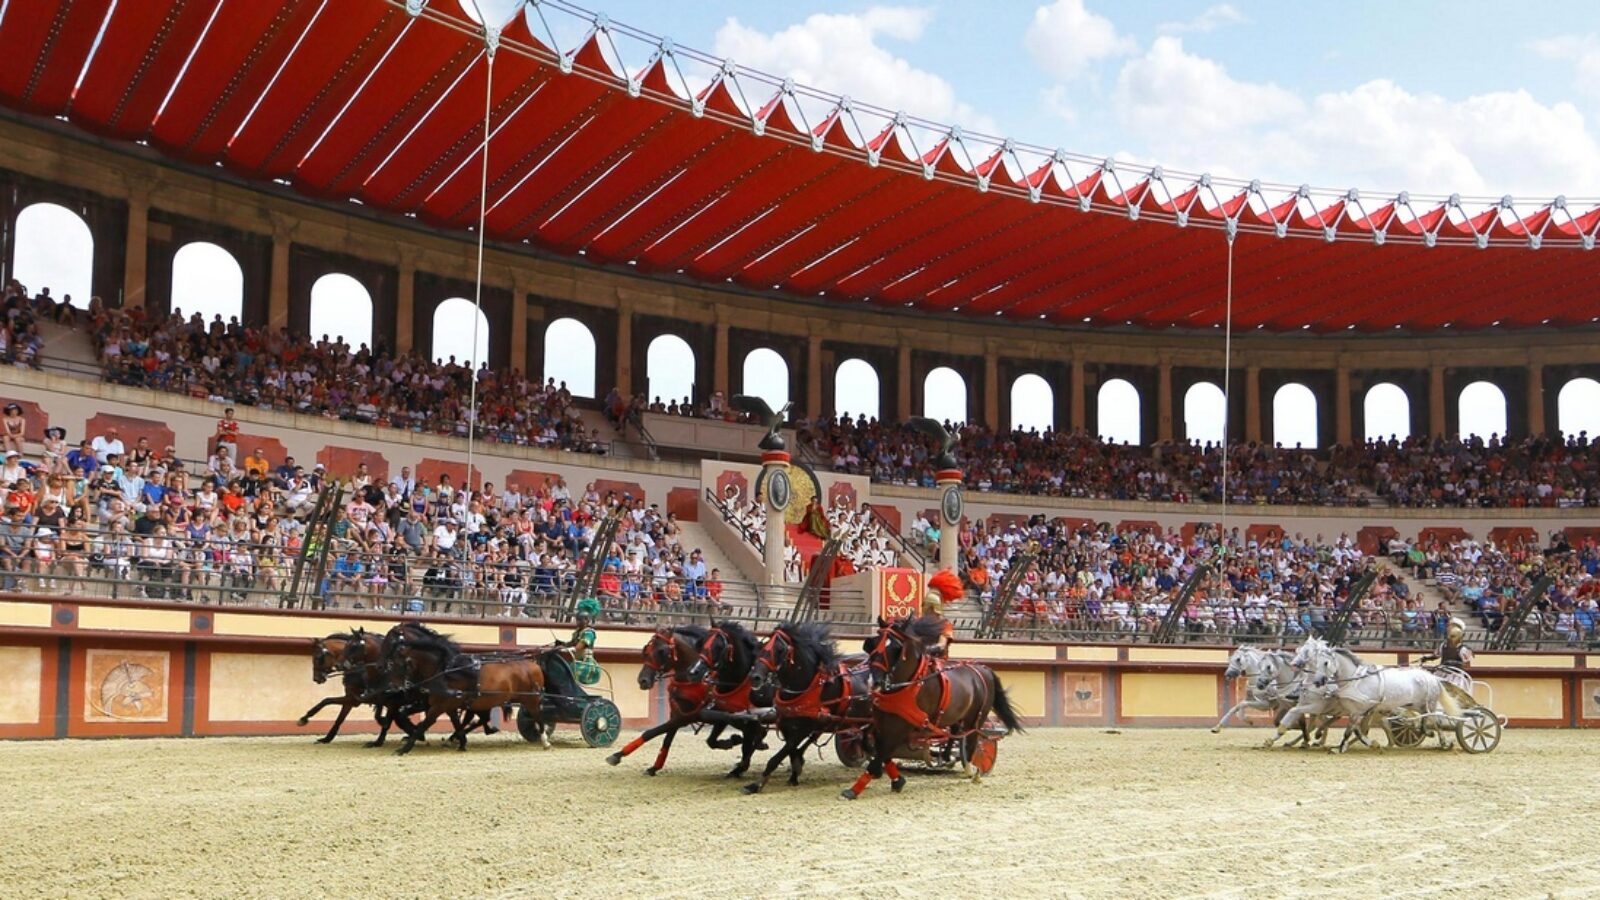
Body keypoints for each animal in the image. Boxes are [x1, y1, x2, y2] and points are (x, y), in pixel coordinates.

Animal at [739, 621, 870, 787]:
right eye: (763, 646)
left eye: (780, 649)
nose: (755, 677)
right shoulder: (789, 724)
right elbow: (791, 751)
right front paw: (795, 770)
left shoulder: (804, 727)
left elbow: (778, 756)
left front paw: (757, 784)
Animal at [851, 611, 1024, 794]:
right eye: (871, 644)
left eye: (895, 648)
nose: (874, 681)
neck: (908, 684)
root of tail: (982, 668)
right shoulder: (880, 720)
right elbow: (873, 742)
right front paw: (891, 777)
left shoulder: (903, 726)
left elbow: (883, 751)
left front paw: (857, 787)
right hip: (956, 714)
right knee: (955, 731)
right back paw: (948, 756)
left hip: (977, 717)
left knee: (972, 739)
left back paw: (972, 770)